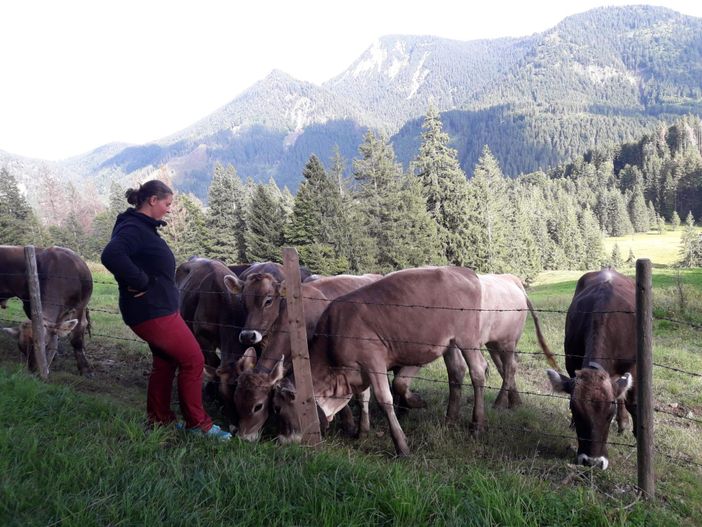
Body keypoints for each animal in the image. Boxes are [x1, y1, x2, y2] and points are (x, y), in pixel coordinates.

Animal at [0, 246, 92, 376]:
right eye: (22, 348)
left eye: (46, 346)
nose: (34, 372)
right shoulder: (30, 303)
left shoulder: (78, 307)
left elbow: (76, 338)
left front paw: (85, 369)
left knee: (83, 324)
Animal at [276, 266, 490, 456]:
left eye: (279, 410)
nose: (281, 441)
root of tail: (464, 271)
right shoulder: (360, 371)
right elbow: (367, 395)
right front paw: (363, 430)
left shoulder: (373, 361)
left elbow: (384, 399)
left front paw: (401, 446)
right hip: (450, 343)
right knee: (456, 371)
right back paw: (450, 419)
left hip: (467, 338)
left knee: (478, 371)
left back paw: (477, 424)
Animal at [548, 268, 640, 470]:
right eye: (575, 410)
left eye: (609, 414)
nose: (592, 462)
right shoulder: (571, 361)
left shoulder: (633, 365)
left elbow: (632, 402)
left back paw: (623, 423)